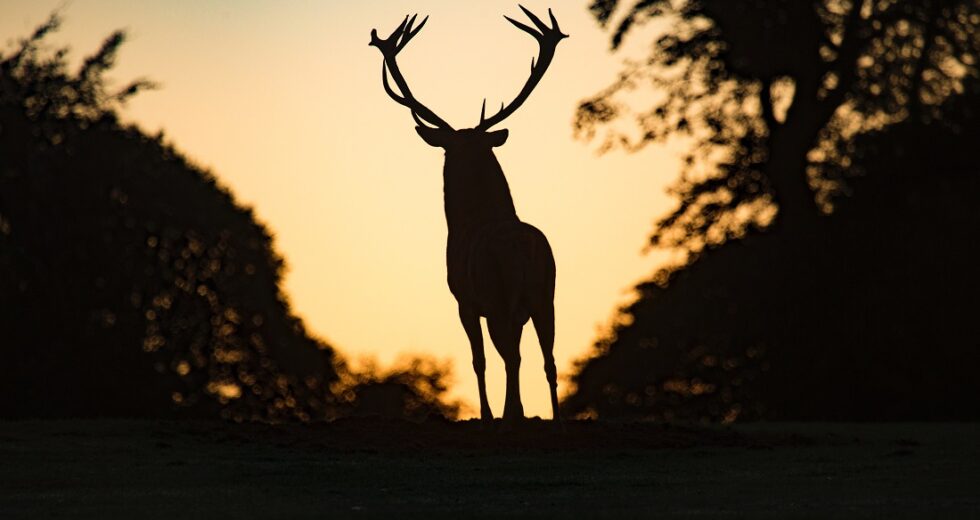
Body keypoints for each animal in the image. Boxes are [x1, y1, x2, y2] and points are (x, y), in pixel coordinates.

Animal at [369, 6, 567, 427]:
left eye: (448, 149)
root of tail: (522, 249)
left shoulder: (463, 298)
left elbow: (478, 360)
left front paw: (489, 414)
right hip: (547, 293)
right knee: (549, 360)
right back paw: (553, 416)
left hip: (499, 295)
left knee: (510, 356)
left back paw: (512, 414)